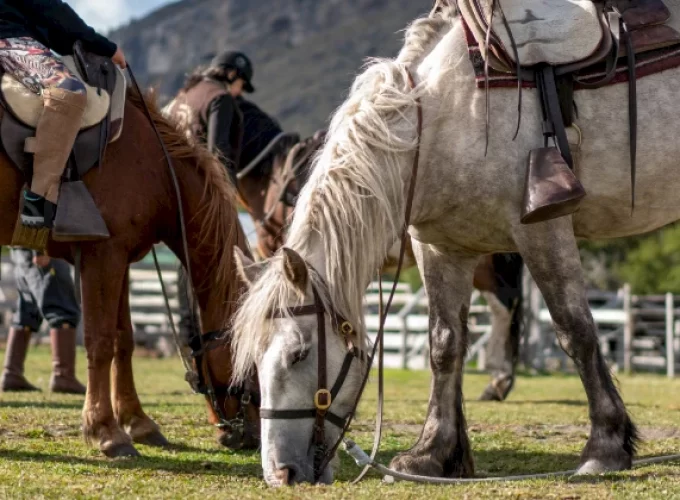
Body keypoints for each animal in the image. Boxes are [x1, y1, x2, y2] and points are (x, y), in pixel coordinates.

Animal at [0, 90, 258, 458]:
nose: (251, 435)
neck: (158, 171)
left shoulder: (120, 261)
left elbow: (124, 340)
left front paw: (137, 422)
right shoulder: (102, 256)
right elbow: (100, 341)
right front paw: (105, 430)